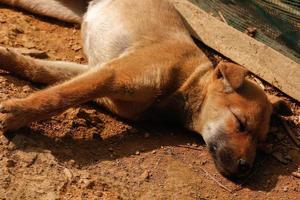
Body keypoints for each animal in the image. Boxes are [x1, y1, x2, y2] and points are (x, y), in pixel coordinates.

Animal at [0, 0, 290, 178]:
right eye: (240, 123)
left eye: (261, 142)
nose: (245, 168)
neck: (183, 85)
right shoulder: (112, 73)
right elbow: (62, 95)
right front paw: (16, 114)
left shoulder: (98, 73)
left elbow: (43, 72)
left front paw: (8, 59)